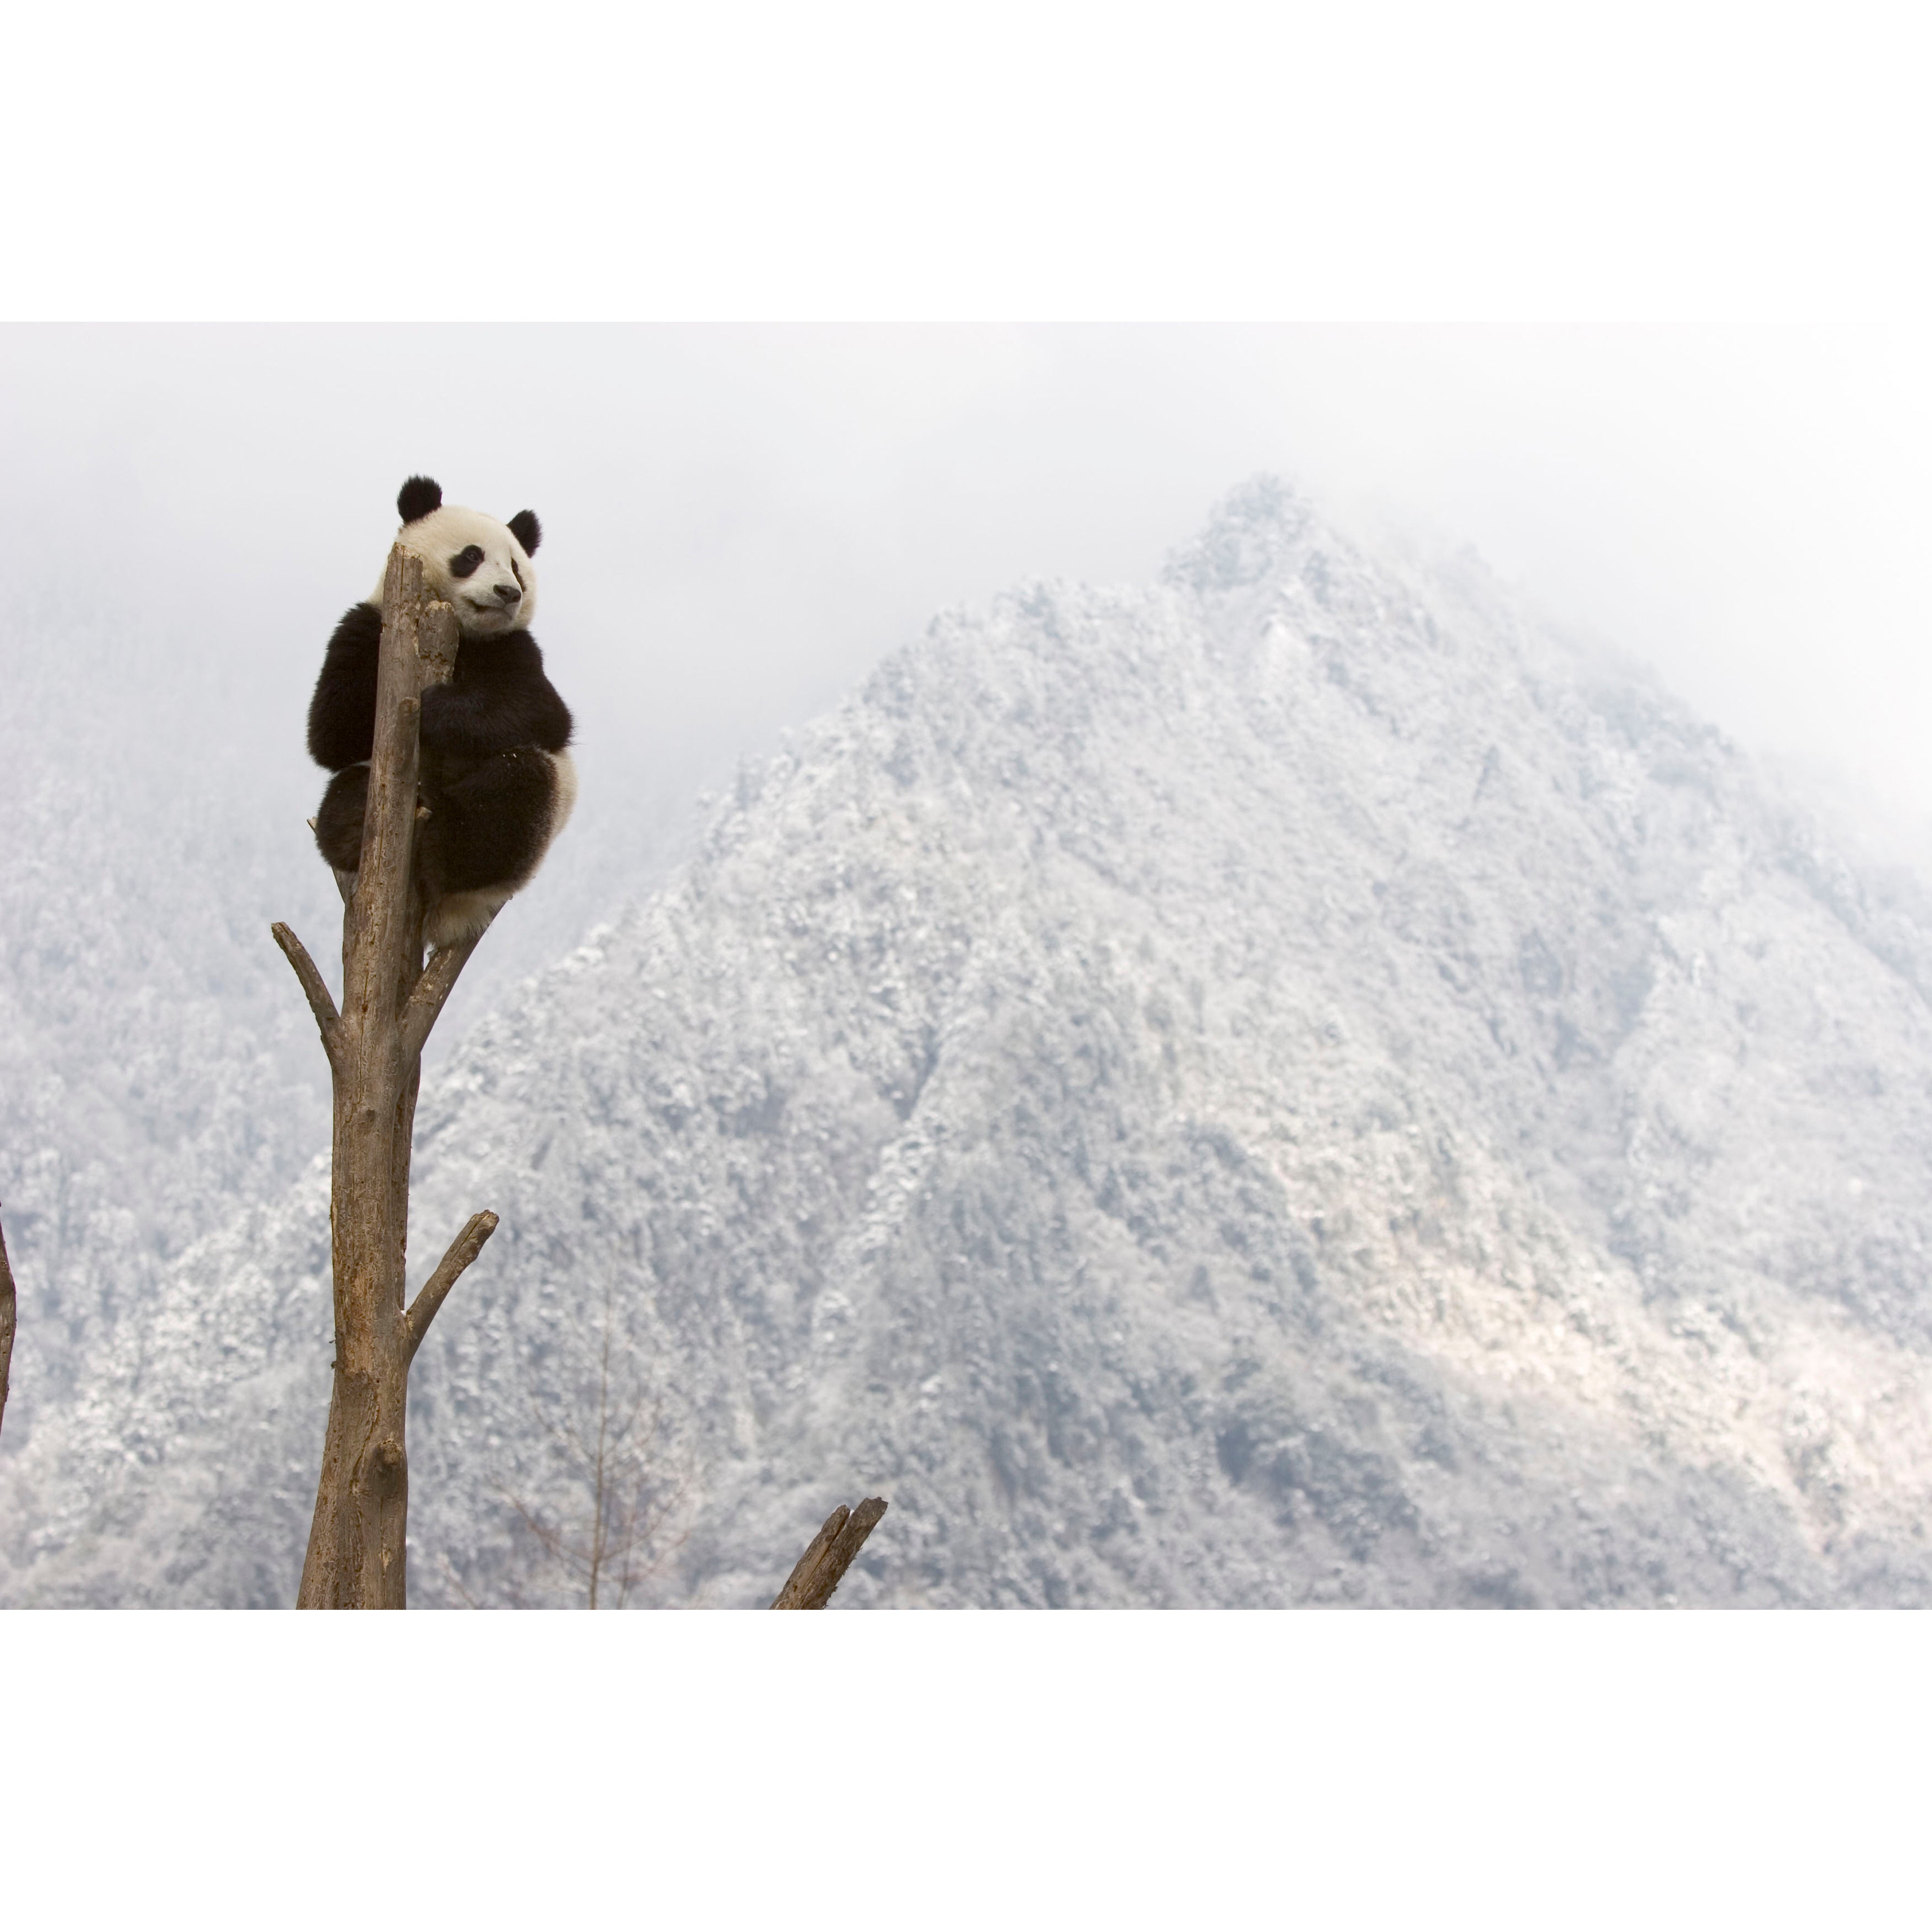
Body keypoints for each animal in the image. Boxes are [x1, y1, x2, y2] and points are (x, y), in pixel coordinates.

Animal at [307, 475, 577, 951]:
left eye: (516, 566)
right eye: (472, 556)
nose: (509, 593)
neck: (462, 631)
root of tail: (447, 921)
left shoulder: (514, 649)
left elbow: (542, 714)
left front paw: (435, 707)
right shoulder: (365, 623)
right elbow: (332, 734)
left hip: (538, 823)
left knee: (513, 796)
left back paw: (441, 846)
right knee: (344, 793)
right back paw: (356, 822)